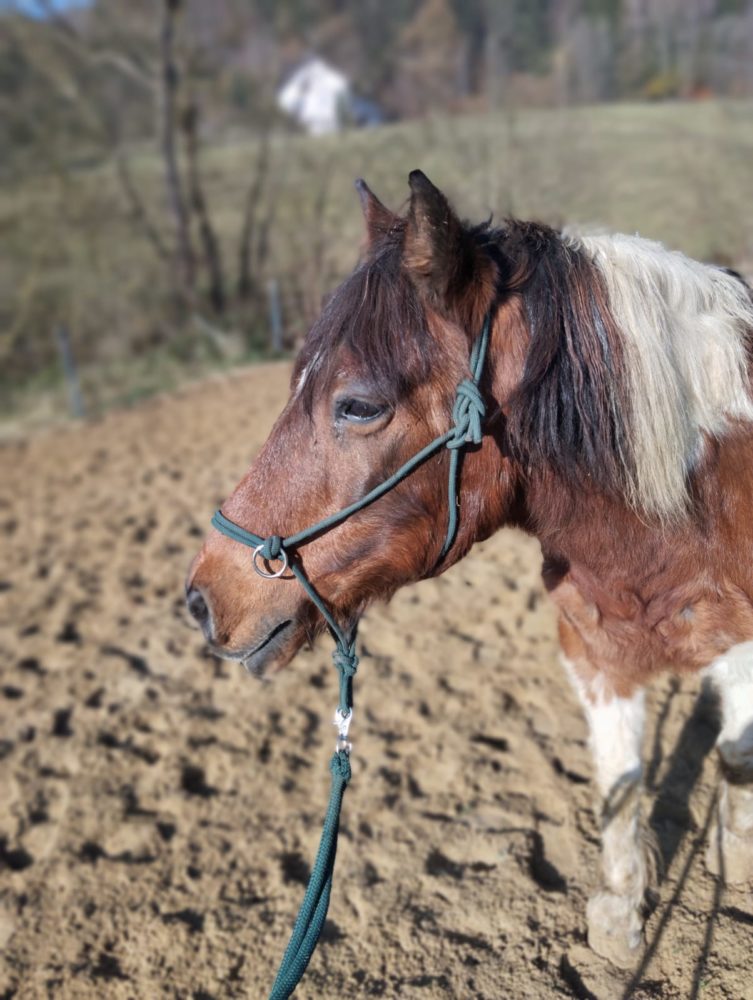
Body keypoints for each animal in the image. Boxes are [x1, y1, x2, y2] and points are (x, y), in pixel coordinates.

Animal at [187, 172, 752, 968]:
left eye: (357, 405)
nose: (204, 598)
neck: (684, 505)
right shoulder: (596, 654)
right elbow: (620, 785)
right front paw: (619, 921)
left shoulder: (741, 649)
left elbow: (735, 754)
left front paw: (735, 856)